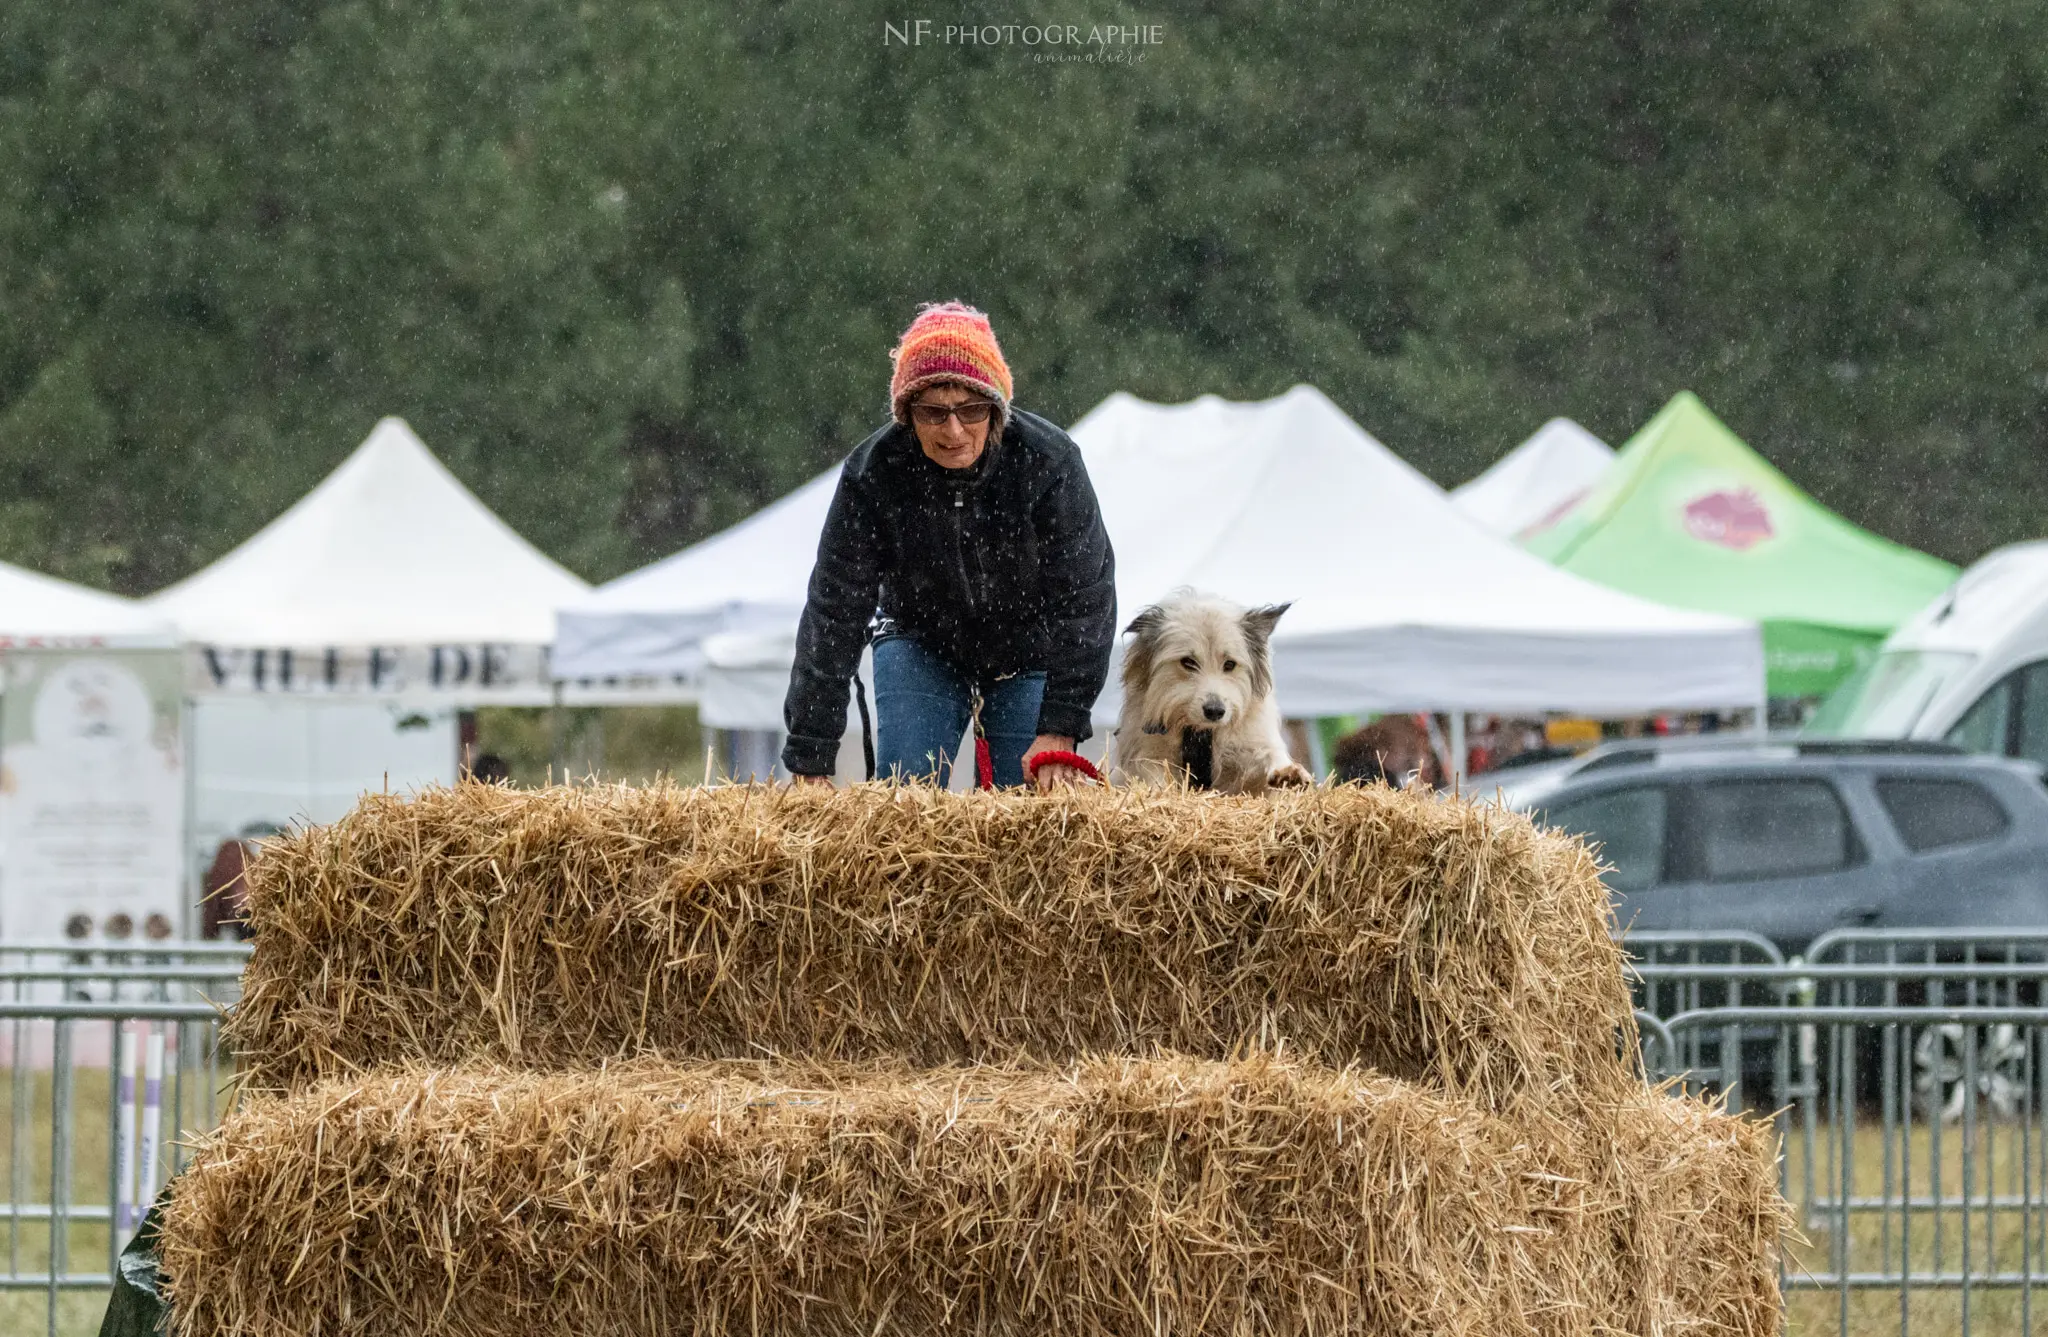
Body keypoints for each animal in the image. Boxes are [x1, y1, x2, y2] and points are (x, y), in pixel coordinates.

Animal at [1105, 585, 1310, 794]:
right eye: (1188, 662)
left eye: (1230, 664)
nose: (1215, 711)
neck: (1200, 733)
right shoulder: (1146, 751)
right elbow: (1151, 772)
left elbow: (1268, 753)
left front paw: (1287, 771)